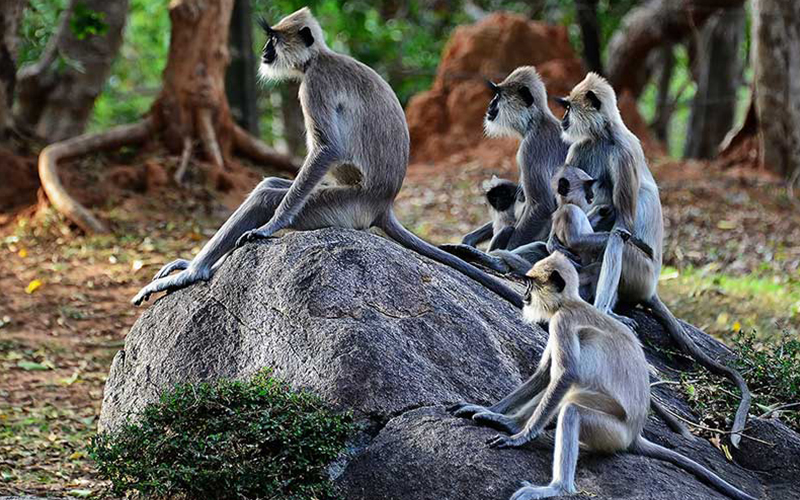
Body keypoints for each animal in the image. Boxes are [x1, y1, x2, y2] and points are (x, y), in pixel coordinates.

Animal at [130, 7, 522, 309]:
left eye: (273, 40)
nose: (264, 51)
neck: (318, 58)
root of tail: (383, 204)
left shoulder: (314, 84)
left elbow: (327, 149)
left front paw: (271, 226)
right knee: (270, 184)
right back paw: (191, 266)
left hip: (342, 208)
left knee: (267, 195)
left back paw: (194, 272)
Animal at [446, 66, 568, 252]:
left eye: (498, 95)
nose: (490, 104)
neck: (535, 123)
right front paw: (469, 239)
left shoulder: (530, 148)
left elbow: (542, 205)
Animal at [449, 253, 757, 500]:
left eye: (530, 284)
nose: (524, 296)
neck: (570, 303)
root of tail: (634, 435)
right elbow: (546, 375)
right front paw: (497, 415)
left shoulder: (562, 322)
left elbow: (564, 375)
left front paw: (520, 436)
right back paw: (510, 423)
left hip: (611, 432)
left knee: (571, 408)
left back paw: (556, 487)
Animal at [549, 72, 750, 447]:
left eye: (568, 107)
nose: (564, 119)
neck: (604, 136)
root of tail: (652, 286)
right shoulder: (580, 148)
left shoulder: (624, 154)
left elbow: (624, 224)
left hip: (639, 272)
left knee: (619, 240)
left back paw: (605, 310)